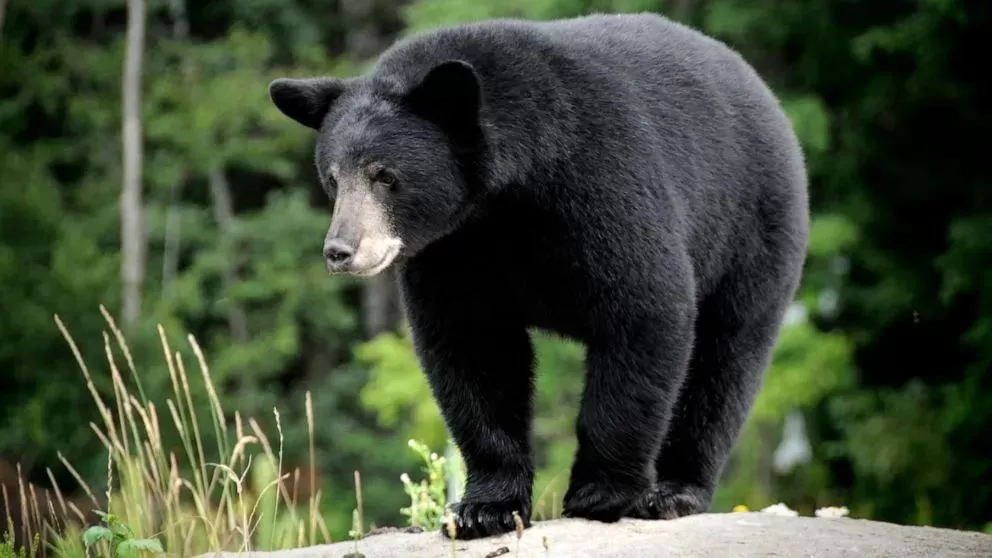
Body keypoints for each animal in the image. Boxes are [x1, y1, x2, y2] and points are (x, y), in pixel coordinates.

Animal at [268, 12, 809, 540]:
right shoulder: (452, 251)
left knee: (725, 361)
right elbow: (473, 350)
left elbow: (644, 308)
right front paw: (484, 508)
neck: (502, 202)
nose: (340, 251)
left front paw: (600, 494)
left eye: (385, 175)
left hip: (752, 230)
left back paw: (675, 491)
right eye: (333, 178)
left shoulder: (600, 181)